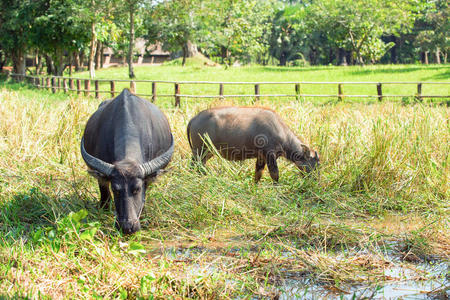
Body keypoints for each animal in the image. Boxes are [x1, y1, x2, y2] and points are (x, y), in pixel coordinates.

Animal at [186, 106, 320, 182]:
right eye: (316, 163)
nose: (316, 180)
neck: (279, 129)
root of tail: (194, 118)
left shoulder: (261, 157)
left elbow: (258, 174)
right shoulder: (270, 155)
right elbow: (275, 175)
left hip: (207, 152)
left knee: (200, 166)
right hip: (200, 151)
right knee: (195, 166)